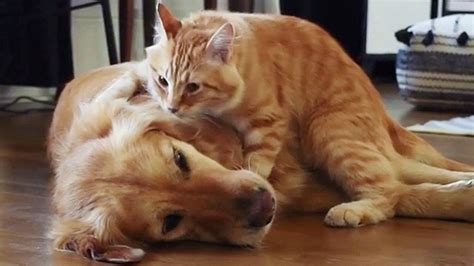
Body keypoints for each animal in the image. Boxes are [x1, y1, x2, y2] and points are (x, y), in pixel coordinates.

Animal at [145, 4, 474, 227]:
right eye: (163, 81)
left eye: (193, 87)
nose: (171, 108)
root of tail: (385, 122)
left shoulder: (269, 120)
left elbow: (258, 162)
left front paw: (252, 176)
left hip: (330, 131)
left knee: (391, 194)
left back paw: (353, 210)